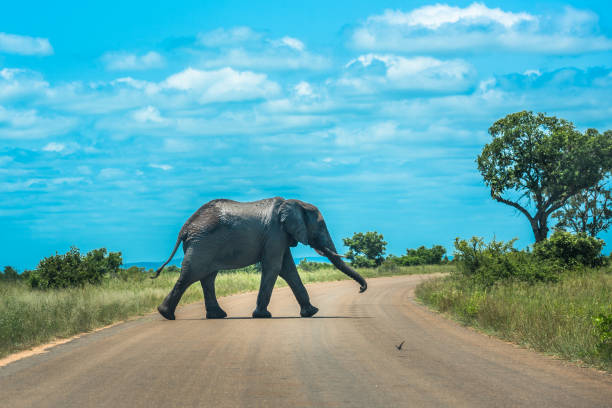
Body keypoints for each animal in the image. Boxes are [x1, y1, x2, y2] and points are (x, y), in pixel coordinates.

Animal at [152, 196, 368, 320]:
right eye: (321, 226)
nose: (361, 290)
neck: (295, 204)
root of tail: (185, 227)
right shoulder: (275, 233)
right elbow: (275, 267)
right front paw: (263, 316)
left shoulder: (280, 235)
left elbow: (288, 270)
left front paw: (312, 312)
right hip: (202, 244)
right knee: (192, 274)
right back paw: (167, 315)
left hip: (204, 245)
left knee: (207, 277)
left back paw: (216, 316)